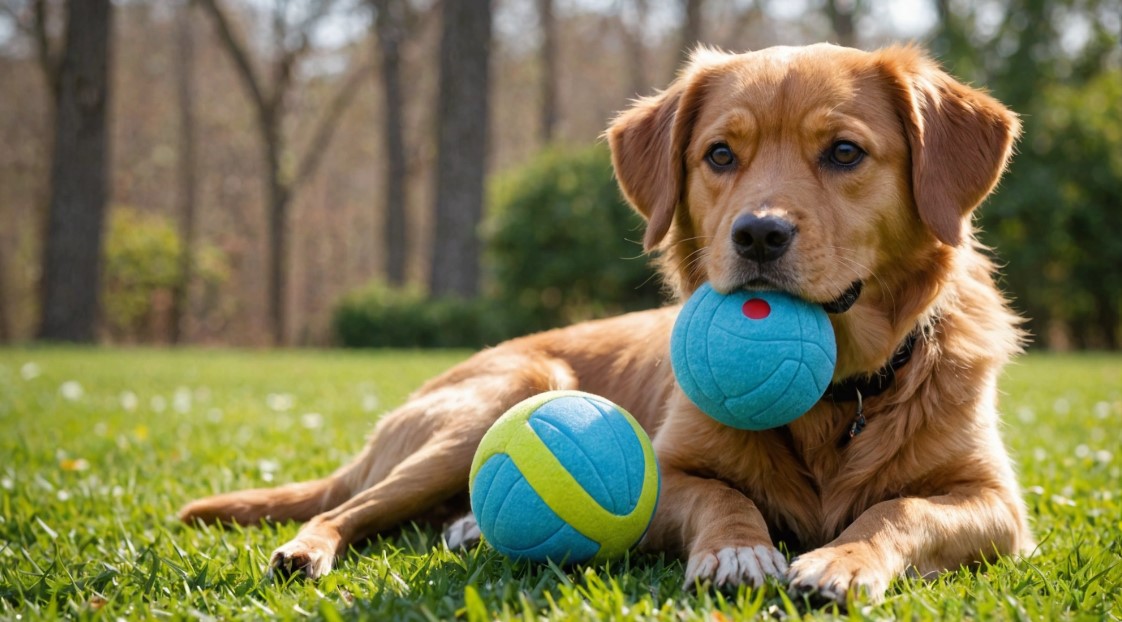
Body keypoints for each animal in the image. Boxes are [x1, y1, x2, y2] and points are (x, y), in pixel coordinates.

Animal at [181, 42, 1032, 601]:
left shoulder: (999, 505)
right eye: (720, 155)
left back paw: (467, 529)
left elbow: (898, 506)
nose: (758, 235)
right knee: (347, 509)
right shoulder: (668, 473)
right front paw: (737, 552)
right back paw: (308, 550)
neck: (838, 397)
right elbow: (723, 497)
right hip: (501, 395)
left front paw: (844, 558)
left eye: (846, 152)